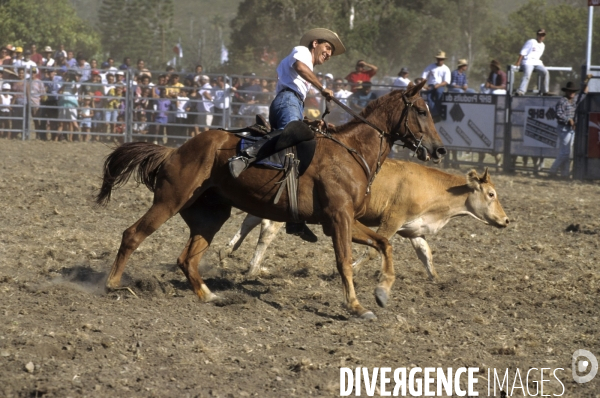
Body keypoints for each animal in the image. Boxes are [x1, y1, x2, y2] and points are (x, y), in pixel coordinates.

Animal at [97, 81, 446, 320]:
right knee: (133, 234)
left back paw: (209, 296)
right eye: (421, 110)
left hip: (211, 215)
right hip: (170, 201)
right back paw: (112, 284)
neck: (351, 152)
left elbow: (383, 244)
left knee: (187, 259)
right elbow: (345, 261)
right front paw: (357, 306)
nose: (439, 149)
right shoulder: (339, 217)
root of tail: (175, 151)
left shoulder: (344, 220)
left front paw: (383, 292)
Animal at [223, 159, 508, 280]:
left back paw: (227, 254)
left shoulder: (414, 229)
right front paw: (351, 269)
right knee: (267, 230)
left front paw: (437, 280)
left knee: (251, 221)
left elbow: (426, 254)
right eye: (491, 194)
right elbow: (374, 249)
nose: (506, 221)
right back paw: (252, 267)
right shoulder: (392, 219)